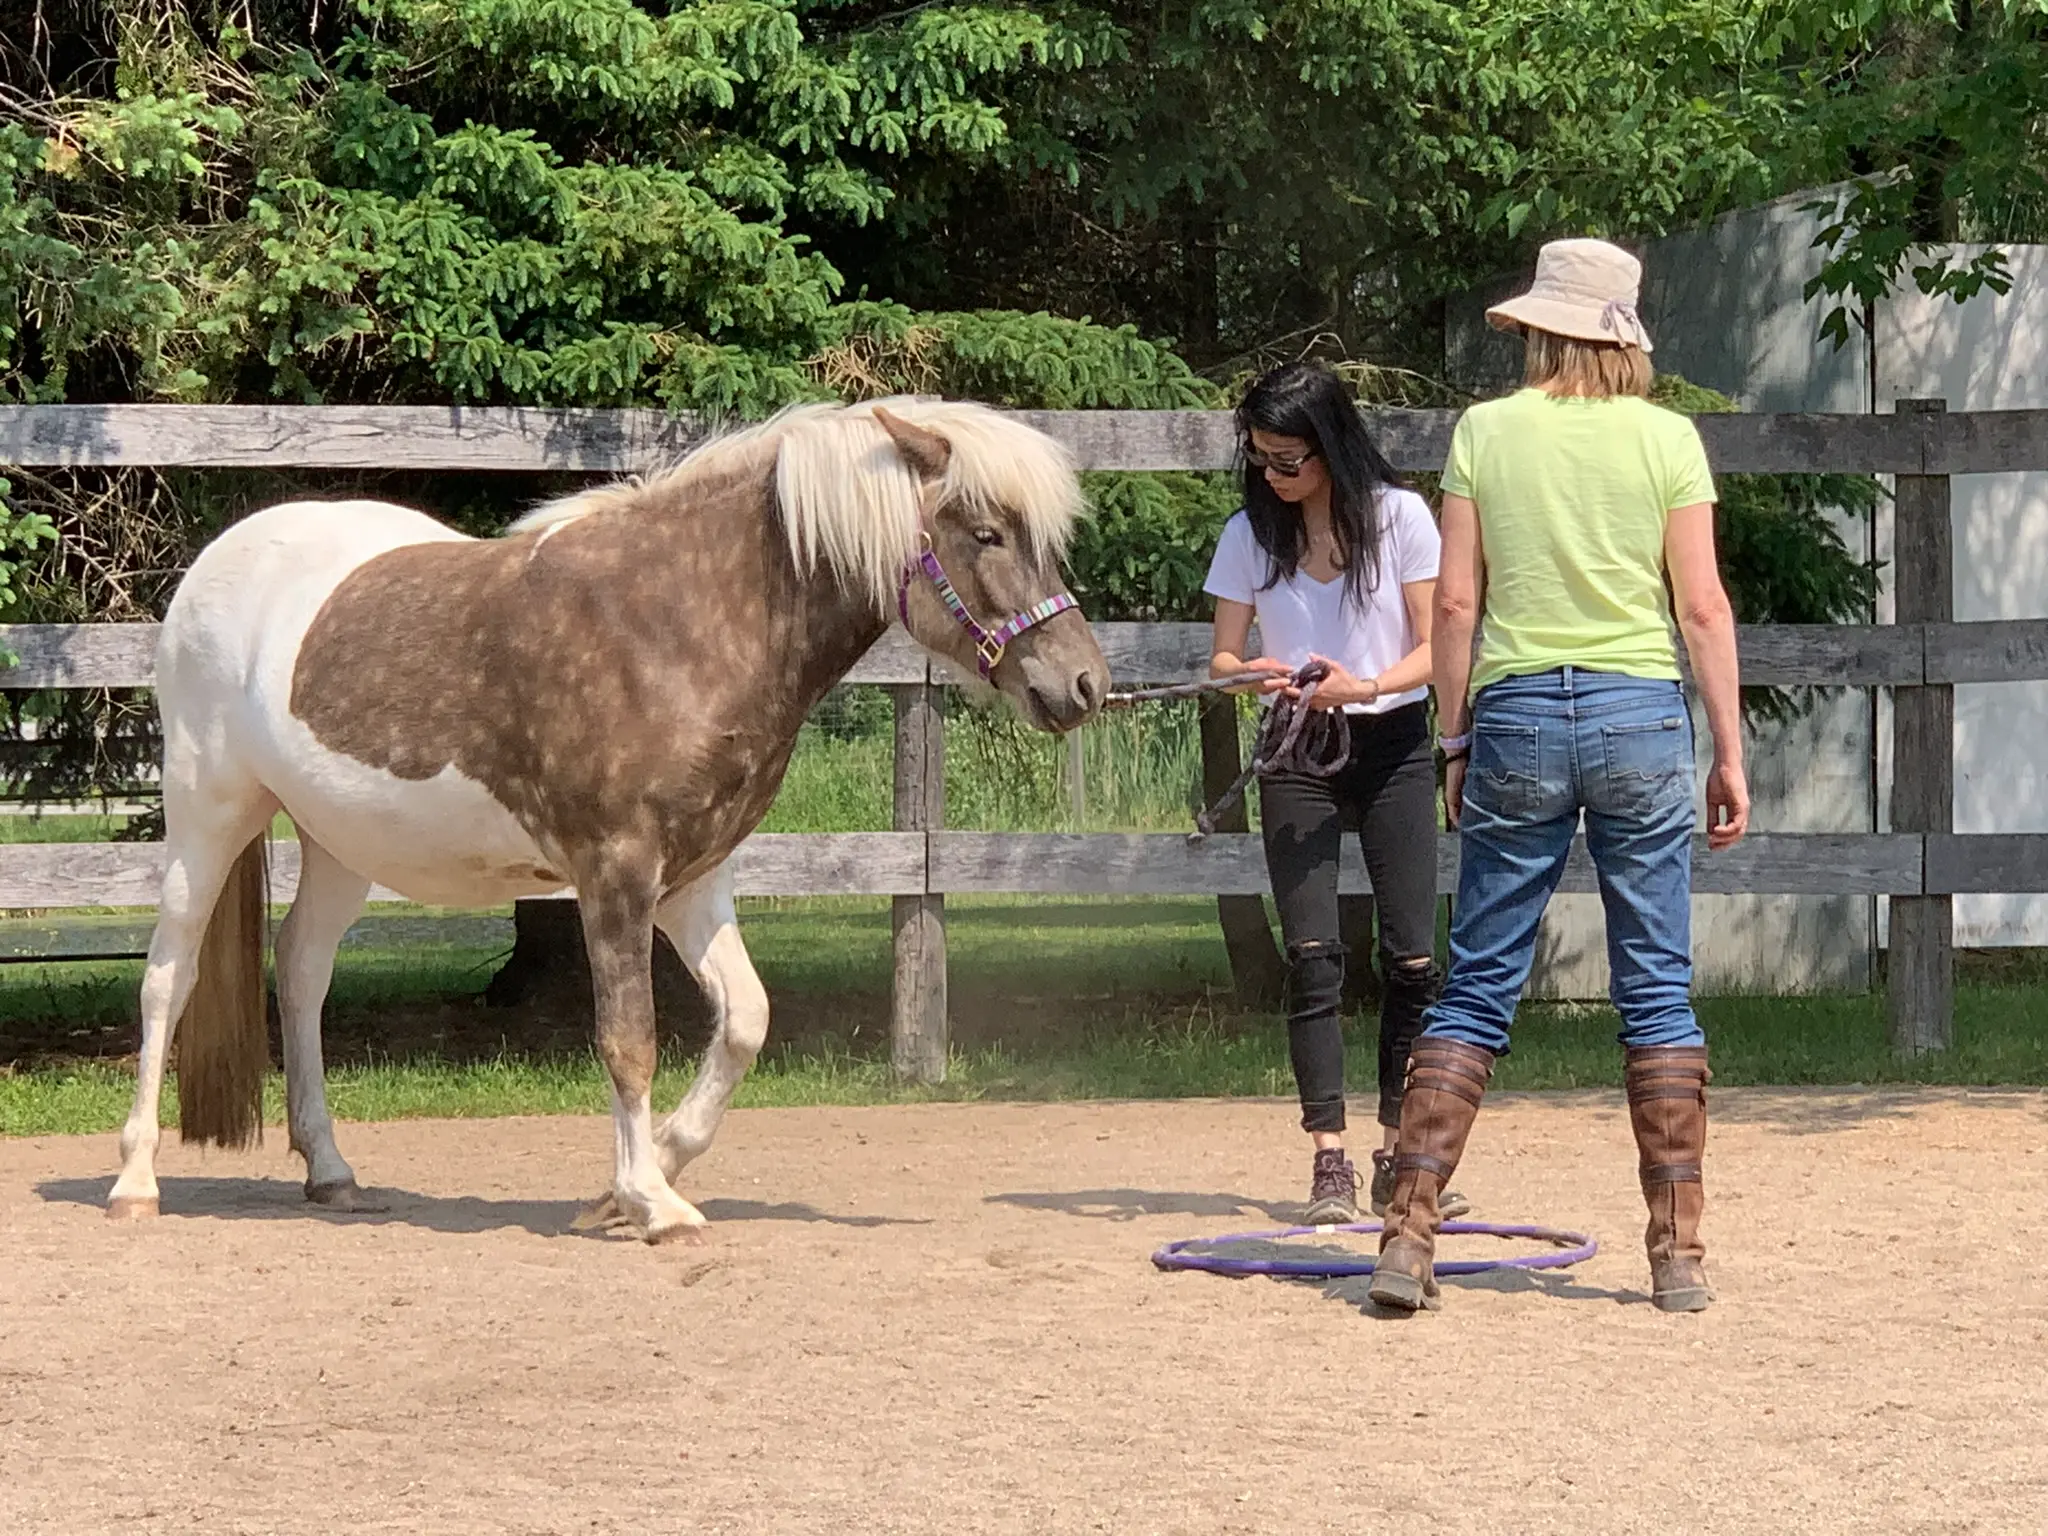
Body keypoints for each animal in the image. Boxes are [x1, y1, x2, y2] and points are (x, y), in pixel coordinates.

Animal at [108, 397, 1105, 1236]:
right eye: (986, 532)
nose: (1084, 684)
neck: (676, 626)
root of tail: (217, 564)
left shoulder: (692, 879)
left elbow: (744, 1019)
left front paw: (637, 1179)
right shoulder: (614, 871)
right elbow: (629, 1039)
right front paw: (651, 1204)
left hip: (342, 844)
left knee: (303, 972)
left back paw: (332, 1171)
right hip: (208, 813)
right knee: (168, 977)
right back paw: (136, 1181)